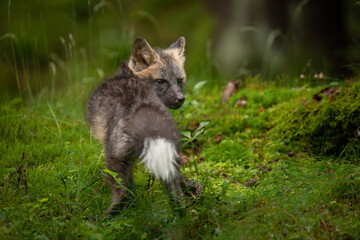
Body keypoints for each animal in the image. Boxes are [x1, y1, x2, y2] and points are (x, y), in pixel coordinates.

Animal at [87, 37, 198, 216]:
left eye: (179, 80)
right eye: (161, 81)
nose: (181, 99)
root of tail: (142, 104)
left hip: (114, 159)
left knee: (124, 194)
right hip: (169, 155)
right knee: (176, 193)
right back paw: (181, 216)